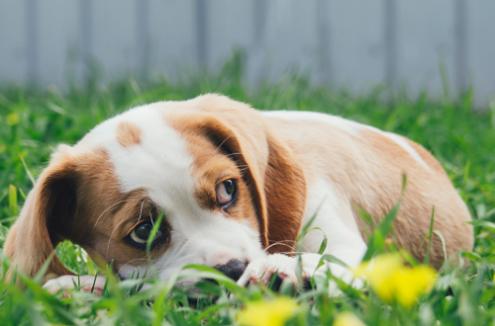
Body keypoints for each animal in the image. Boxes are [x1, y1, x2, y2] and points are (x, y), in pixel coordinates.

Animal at [3, 93, 476, 292]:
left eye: (228, 190)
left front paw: (287, 270)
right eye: (143, 232)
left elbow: (333, 259)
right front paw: (80, 287)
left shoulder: (335, 233)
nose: (232, 269)